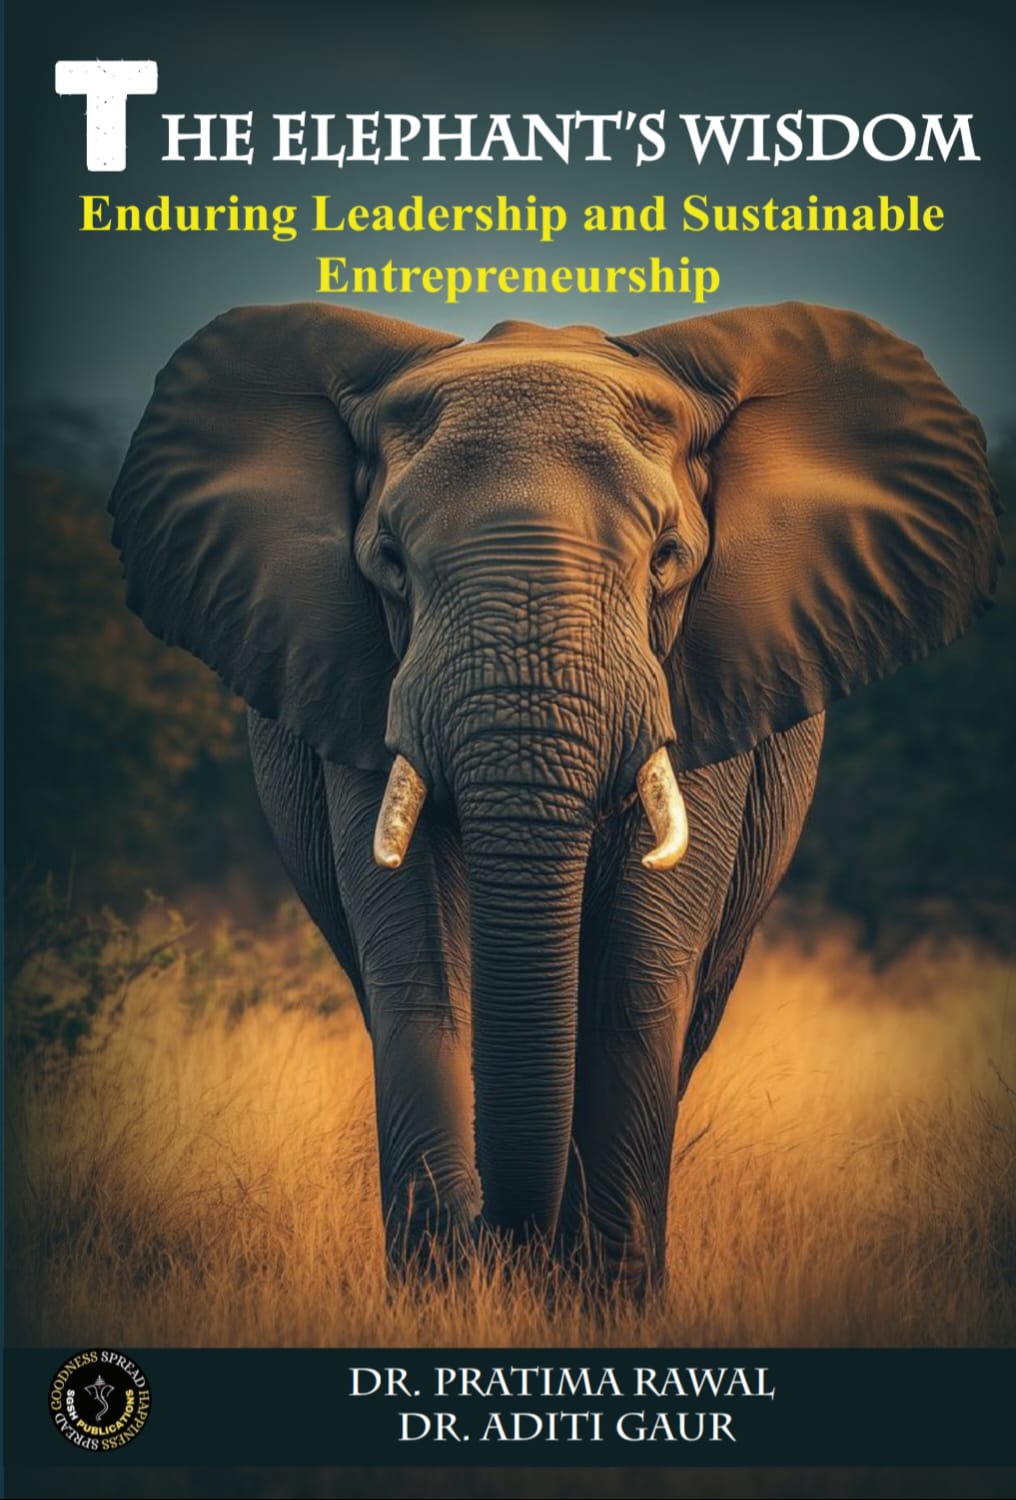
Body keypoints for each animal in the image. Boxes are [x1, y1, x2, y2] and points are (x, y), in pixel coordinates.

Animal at [107, 300, 1001, 1299]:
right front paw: (443, 1295)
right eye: (390, 563)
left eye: (667, 559)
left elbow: (638, 969)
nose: (500, 1241)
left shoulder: (705, 676)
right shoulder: (358, 675)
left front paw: (602, 1302)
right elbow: (419, 959)